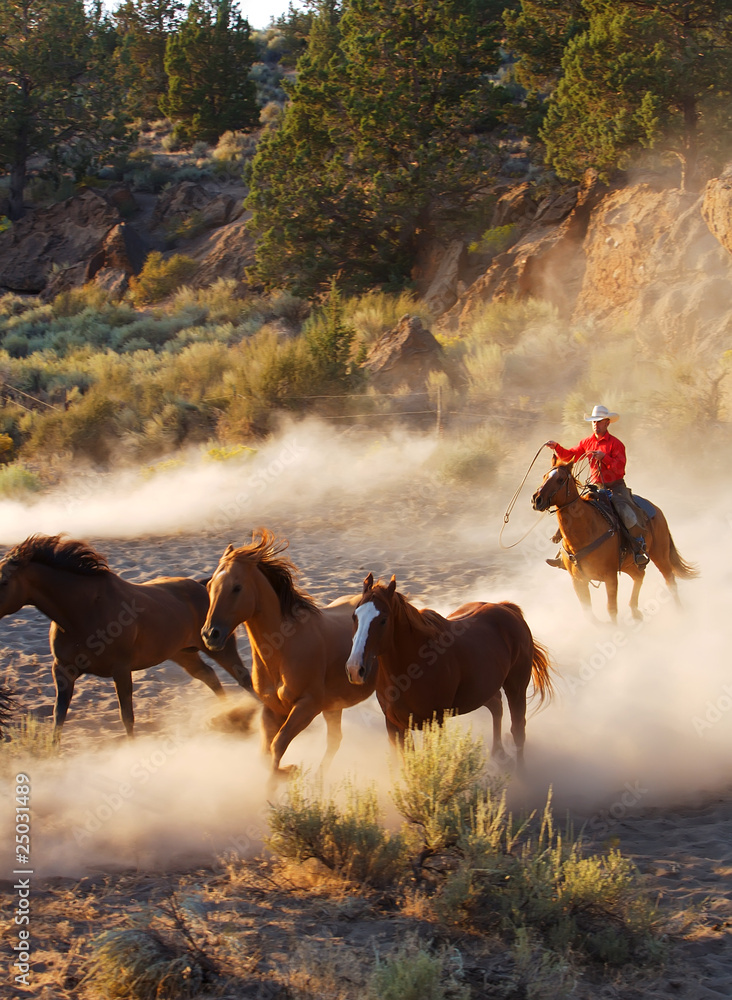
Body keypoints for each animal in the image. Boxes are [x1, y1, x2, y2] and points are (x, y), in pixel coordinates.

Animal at [0, 534, 253, 740]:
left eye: (4, 581)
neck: (84, 611)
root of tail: (204, 586)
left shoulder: (120, 669)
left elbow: (127, 716)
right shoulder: (62, 670)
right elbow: (58, 717)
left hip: (219, 646)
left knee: (244, 679)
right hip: (183, 654)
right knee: (210, 676)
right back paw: (228, 714)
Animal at [201, 529, 374, 778]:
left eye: (237, 587)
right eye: (209, 586)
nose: (209, 635)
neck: (282, 649)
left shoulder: (307, 707)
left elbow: (278, 745)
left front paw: (282, 776)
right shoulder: (273, 709)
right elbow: (265, 753)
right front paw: (289, 772)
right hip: (334, 706)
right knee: (335, 739)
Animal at [345, 574, 553, 769]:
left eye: (383, 620)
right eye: (354, 617)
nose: (355, 668)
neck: (411, 670)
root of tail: (507, 608)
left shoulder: (434, 724)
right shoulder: (395, 725)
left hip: (516, 686)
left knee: (518, 729)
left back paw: (520, 770)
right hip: (484, 689)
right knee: (496, 706)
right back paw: (498, 752)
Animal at [531, 457, 697, 622]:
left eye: (560, 479)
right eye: (544, 476)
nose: (536, 500)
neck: (583, 533)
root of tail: (655, 508)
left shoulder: (610, 576)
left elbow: (611, 609)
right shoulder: (578, 580)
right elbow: (589, 614)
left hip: (659, 554)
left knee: (670, 581)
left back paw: (680, 613)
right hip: (627, 564)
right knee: (639, 576)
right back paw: (635, 611)